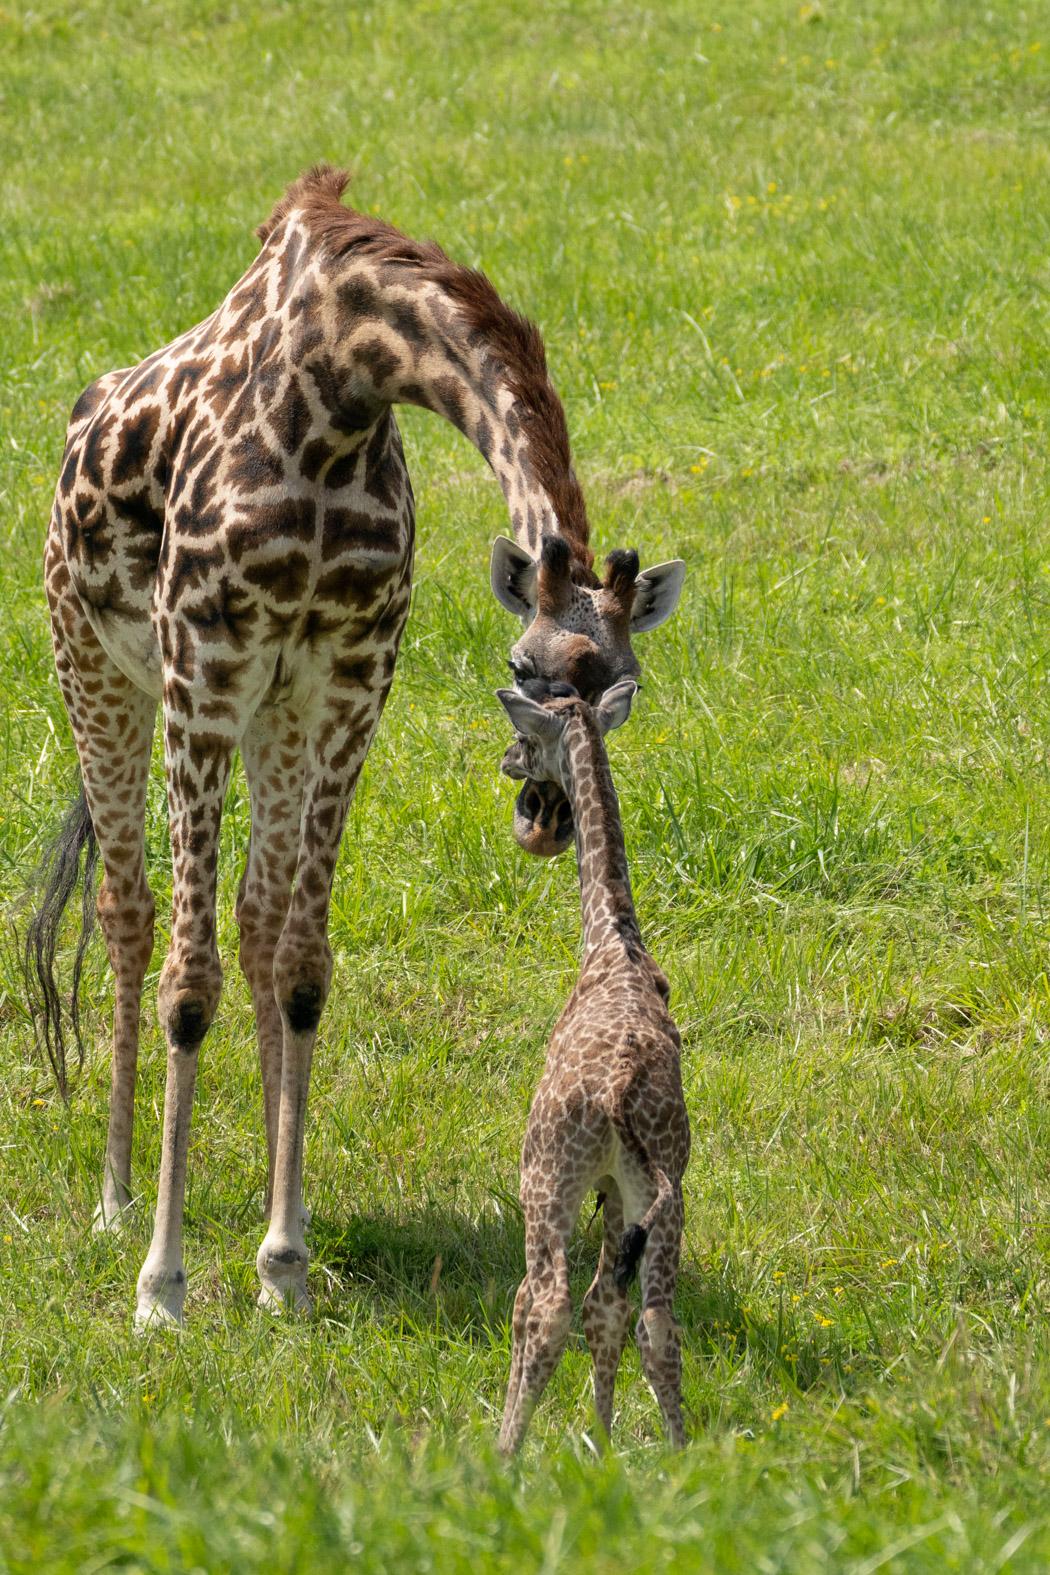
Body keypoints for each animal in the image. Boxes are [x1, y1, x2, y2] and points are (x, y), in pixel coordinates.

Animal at [25, 165, 686, 1327]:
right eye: (522, 671)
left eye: (622, 695)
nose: (550, 818)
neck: (336, 392)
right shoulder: (204, 670)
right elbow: (186, 982)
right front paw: (163, 1286)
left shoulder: (347, 682)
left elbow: (301, 963)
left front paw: (283, 1260)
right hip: (96, 669)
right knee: (128, 913)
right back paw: (115, 1200)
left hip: (273, 718)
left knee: (254, 920)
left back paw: (254, 1199)